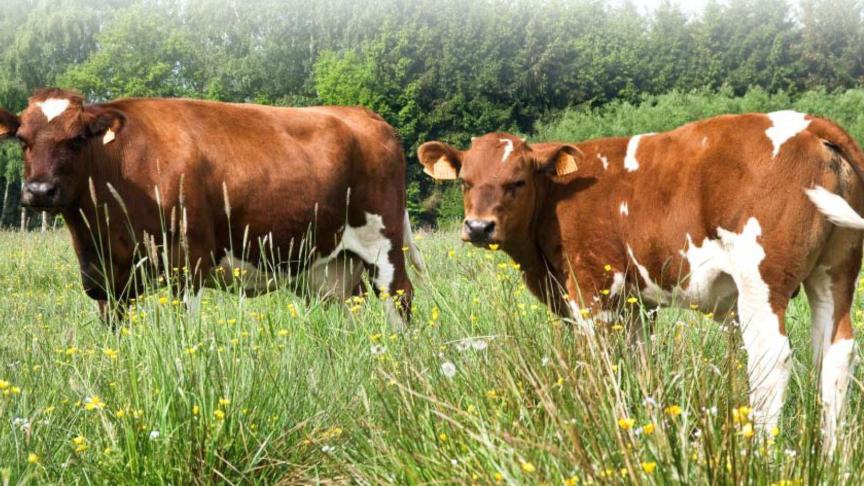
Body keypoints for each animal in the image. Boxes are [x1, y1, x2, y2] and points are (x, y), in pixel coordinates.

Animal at [0, 88, 426, 330]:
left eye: (76, 140)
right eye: (22, 140)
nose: (39, 191)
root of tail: (363, 114)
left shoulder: (188, 262)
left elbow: (183, 332)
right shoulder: (108, 280)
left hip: (384, 245)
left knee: (400, 298)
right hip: (335, 265)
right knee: (352, 305)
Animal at [418, 113, 864, 448]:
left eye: (518, 181)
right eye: (465, 182)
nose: (478, 227)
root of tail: (812, 124)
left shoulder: (591, 287)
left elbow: (596, 362)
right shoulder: (638, 303)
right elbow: (638, 360)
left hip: (762, 281)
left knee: (771, 358)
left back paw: (762, 454)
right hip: (835, 275)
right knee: (835, 353)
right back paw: (833, 456)